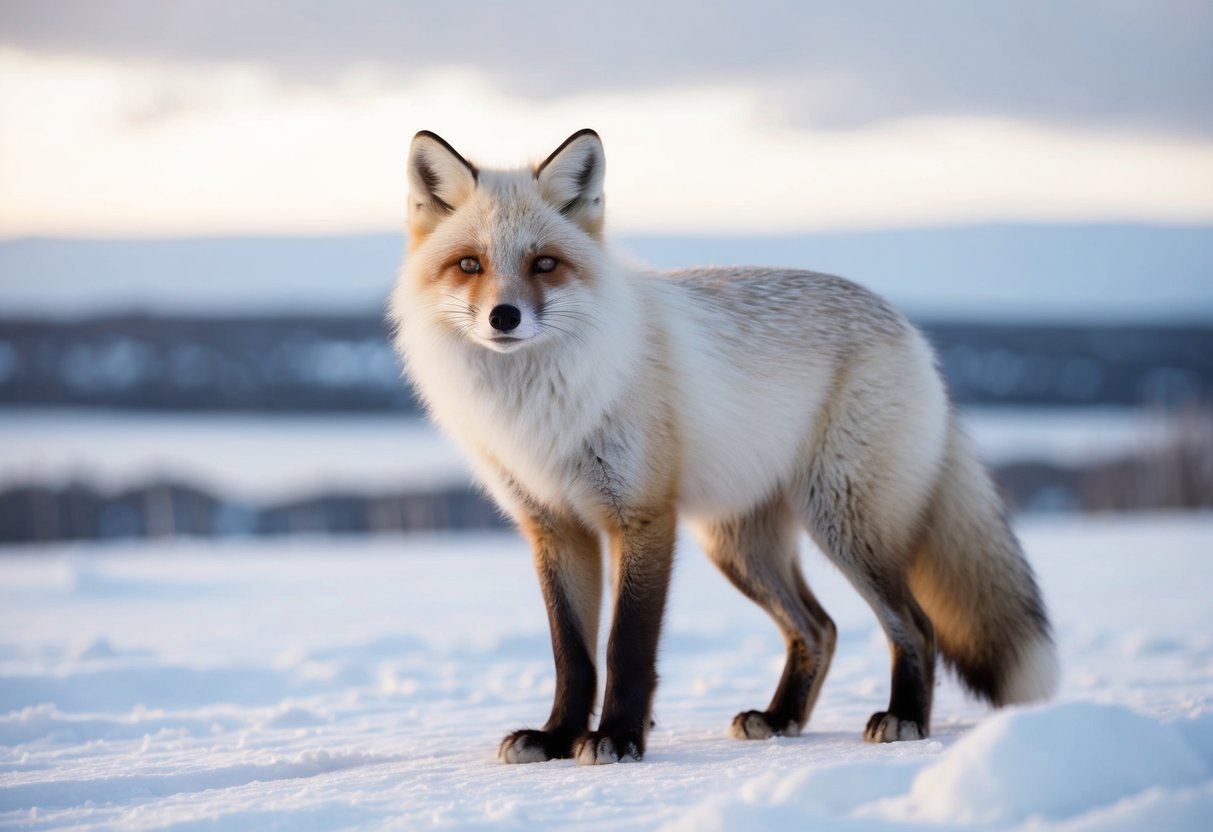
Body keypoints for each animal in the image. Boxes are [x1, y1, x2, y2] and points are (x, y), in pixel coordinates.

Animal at [388, 128, 1059, 766]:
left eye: (544, 263)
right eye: (470, 265)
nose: (504, 317)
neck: (540, 409)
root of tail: (912, 332)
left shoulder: (643, 515)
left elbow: (626, 646)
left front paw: (619, 738)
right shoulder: (554, 527)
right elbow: (572, 655)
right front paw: (556, 738)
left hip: (844, 523)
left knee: (916, 627)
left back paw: (904, 720)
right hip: (740, 545)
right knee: (820, 628)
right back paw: (782, 718)